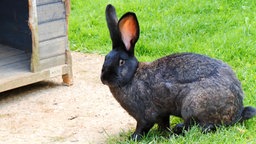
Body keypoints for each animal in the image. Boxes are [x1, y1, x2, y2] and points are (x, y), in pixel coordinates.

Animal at [100, 4, 256, 141]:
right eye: (106, 58)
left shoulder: (146, 114)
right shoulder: (162, 114)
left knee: (204, 126)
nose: (104, 78)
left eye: (121, 62)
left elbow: (143, 127)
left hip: (193, 105)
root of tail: (237, 112)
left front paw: (133, 138)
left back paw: (179, 130)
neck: (133, 76)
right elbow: (163, 123)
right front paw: (163, 134)